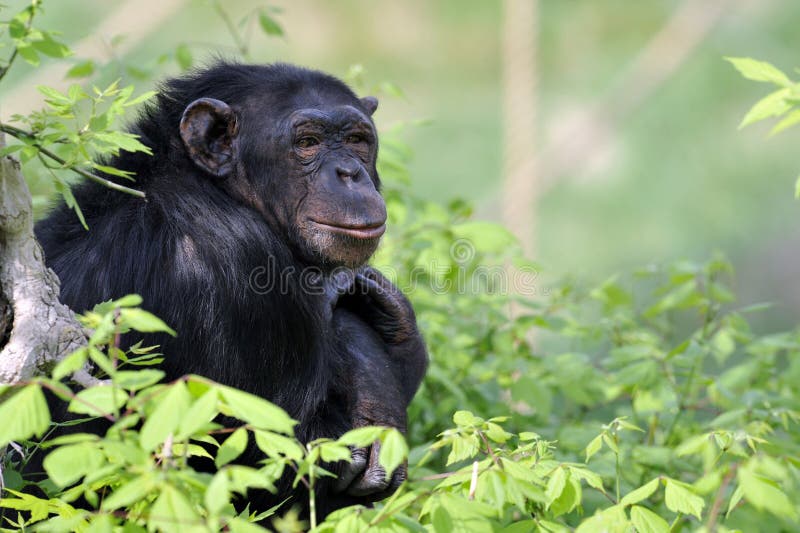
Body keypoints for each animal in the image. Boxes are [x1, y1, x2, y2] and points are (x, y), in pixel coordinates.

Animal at [34, 61, 428, 516]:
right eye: (307, 143)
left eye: (357, 140)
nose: (350, 174)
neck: (218, 190)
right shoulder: (240, 254)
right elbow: (276, 454)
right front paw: (370, 385)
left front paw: (388, 315)